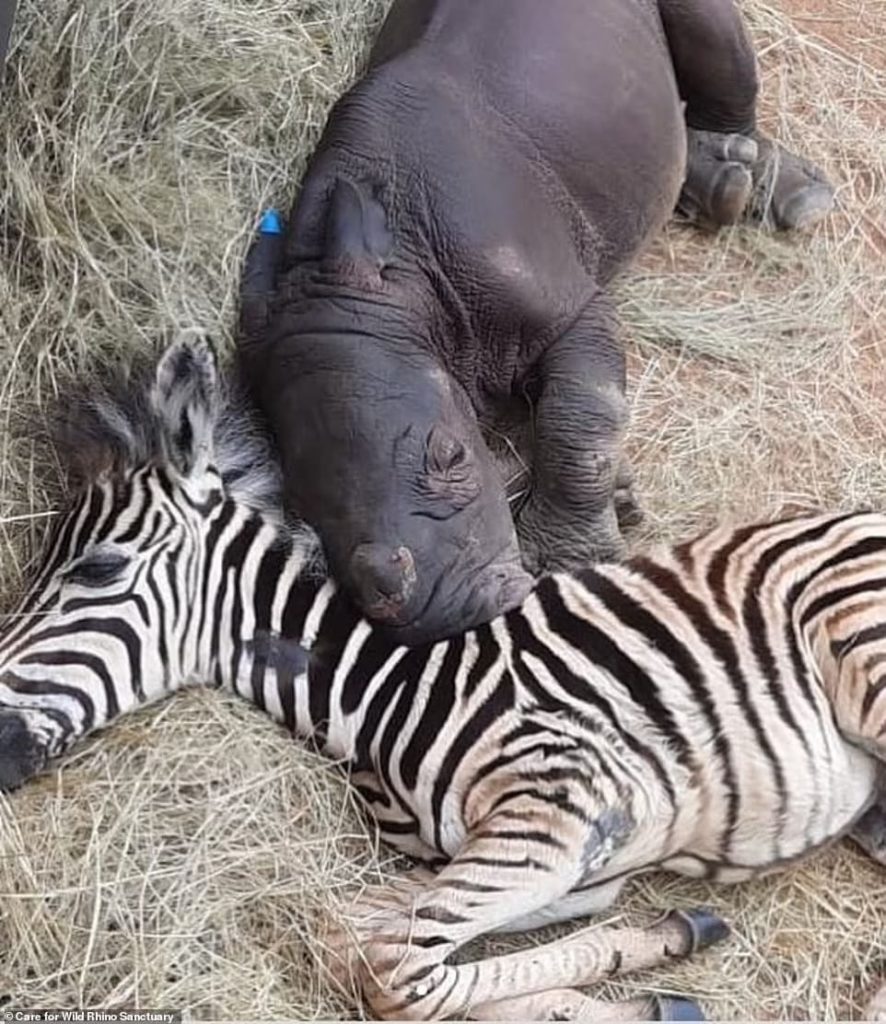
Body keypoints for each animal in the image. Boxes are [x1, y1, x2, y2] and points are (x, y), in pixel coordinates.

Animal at [1, 335, 884, 1015]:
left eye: (97, 568)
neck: (381, 692)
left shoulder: (564, 809)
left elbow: (394, 970)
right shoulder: (528, 859)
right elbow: (352, 935)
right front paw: (650, 957)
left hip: (861, 651)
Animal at [238, 0, 831, 643]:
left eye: (452, 457)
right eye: (304, 510)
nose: (442, 613)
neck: (399, 285)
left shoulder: (570, 310)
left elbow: (579, 421)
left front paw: (570, 560)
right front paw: (618, 499)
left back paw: (778, 192)